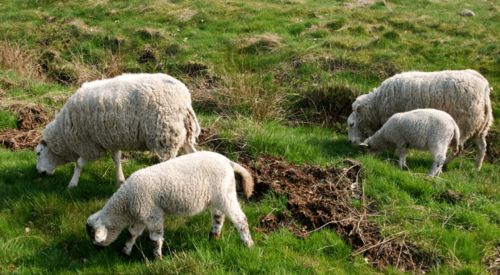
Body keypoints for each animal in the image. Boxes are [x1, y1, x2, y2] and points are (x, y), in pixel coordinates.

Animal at [34, 73, 201, 190]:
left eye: (38, 153)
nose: (39, 173)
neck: (64, 134)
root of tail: (185, 99)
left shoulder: (89, 144)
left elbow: (79, 164)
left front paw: (72, 184)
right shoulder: (110, 139)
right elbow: (116, 159)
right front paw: (120, 181)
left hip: (166, 135)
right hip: (180, 134)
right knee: (193, 154)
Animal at [85, 152, 254, 260]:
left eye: (94, 237)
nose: (95, 250)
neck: (126, 203)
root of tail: (228, 162)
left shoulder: (152, 214)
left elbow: (155, 238)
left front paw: (157, 258)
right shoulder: (141, 215)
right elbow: (132, 233)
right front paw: (125, 251)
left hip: (225, 193)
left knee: (240, 220)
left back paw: (248, 244)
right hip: (216, 197)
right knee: (219, 216)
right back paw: (214, 236)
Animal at [348, 69, 492, 170]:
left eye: (351, 124)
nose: (350, 142)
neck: (377, 105)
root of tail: (484, 86)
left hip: (463, 125)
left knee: (458, 150)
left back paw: (444, 164)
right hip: (481, 127)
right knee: (482, 147)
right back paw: (476, 168)